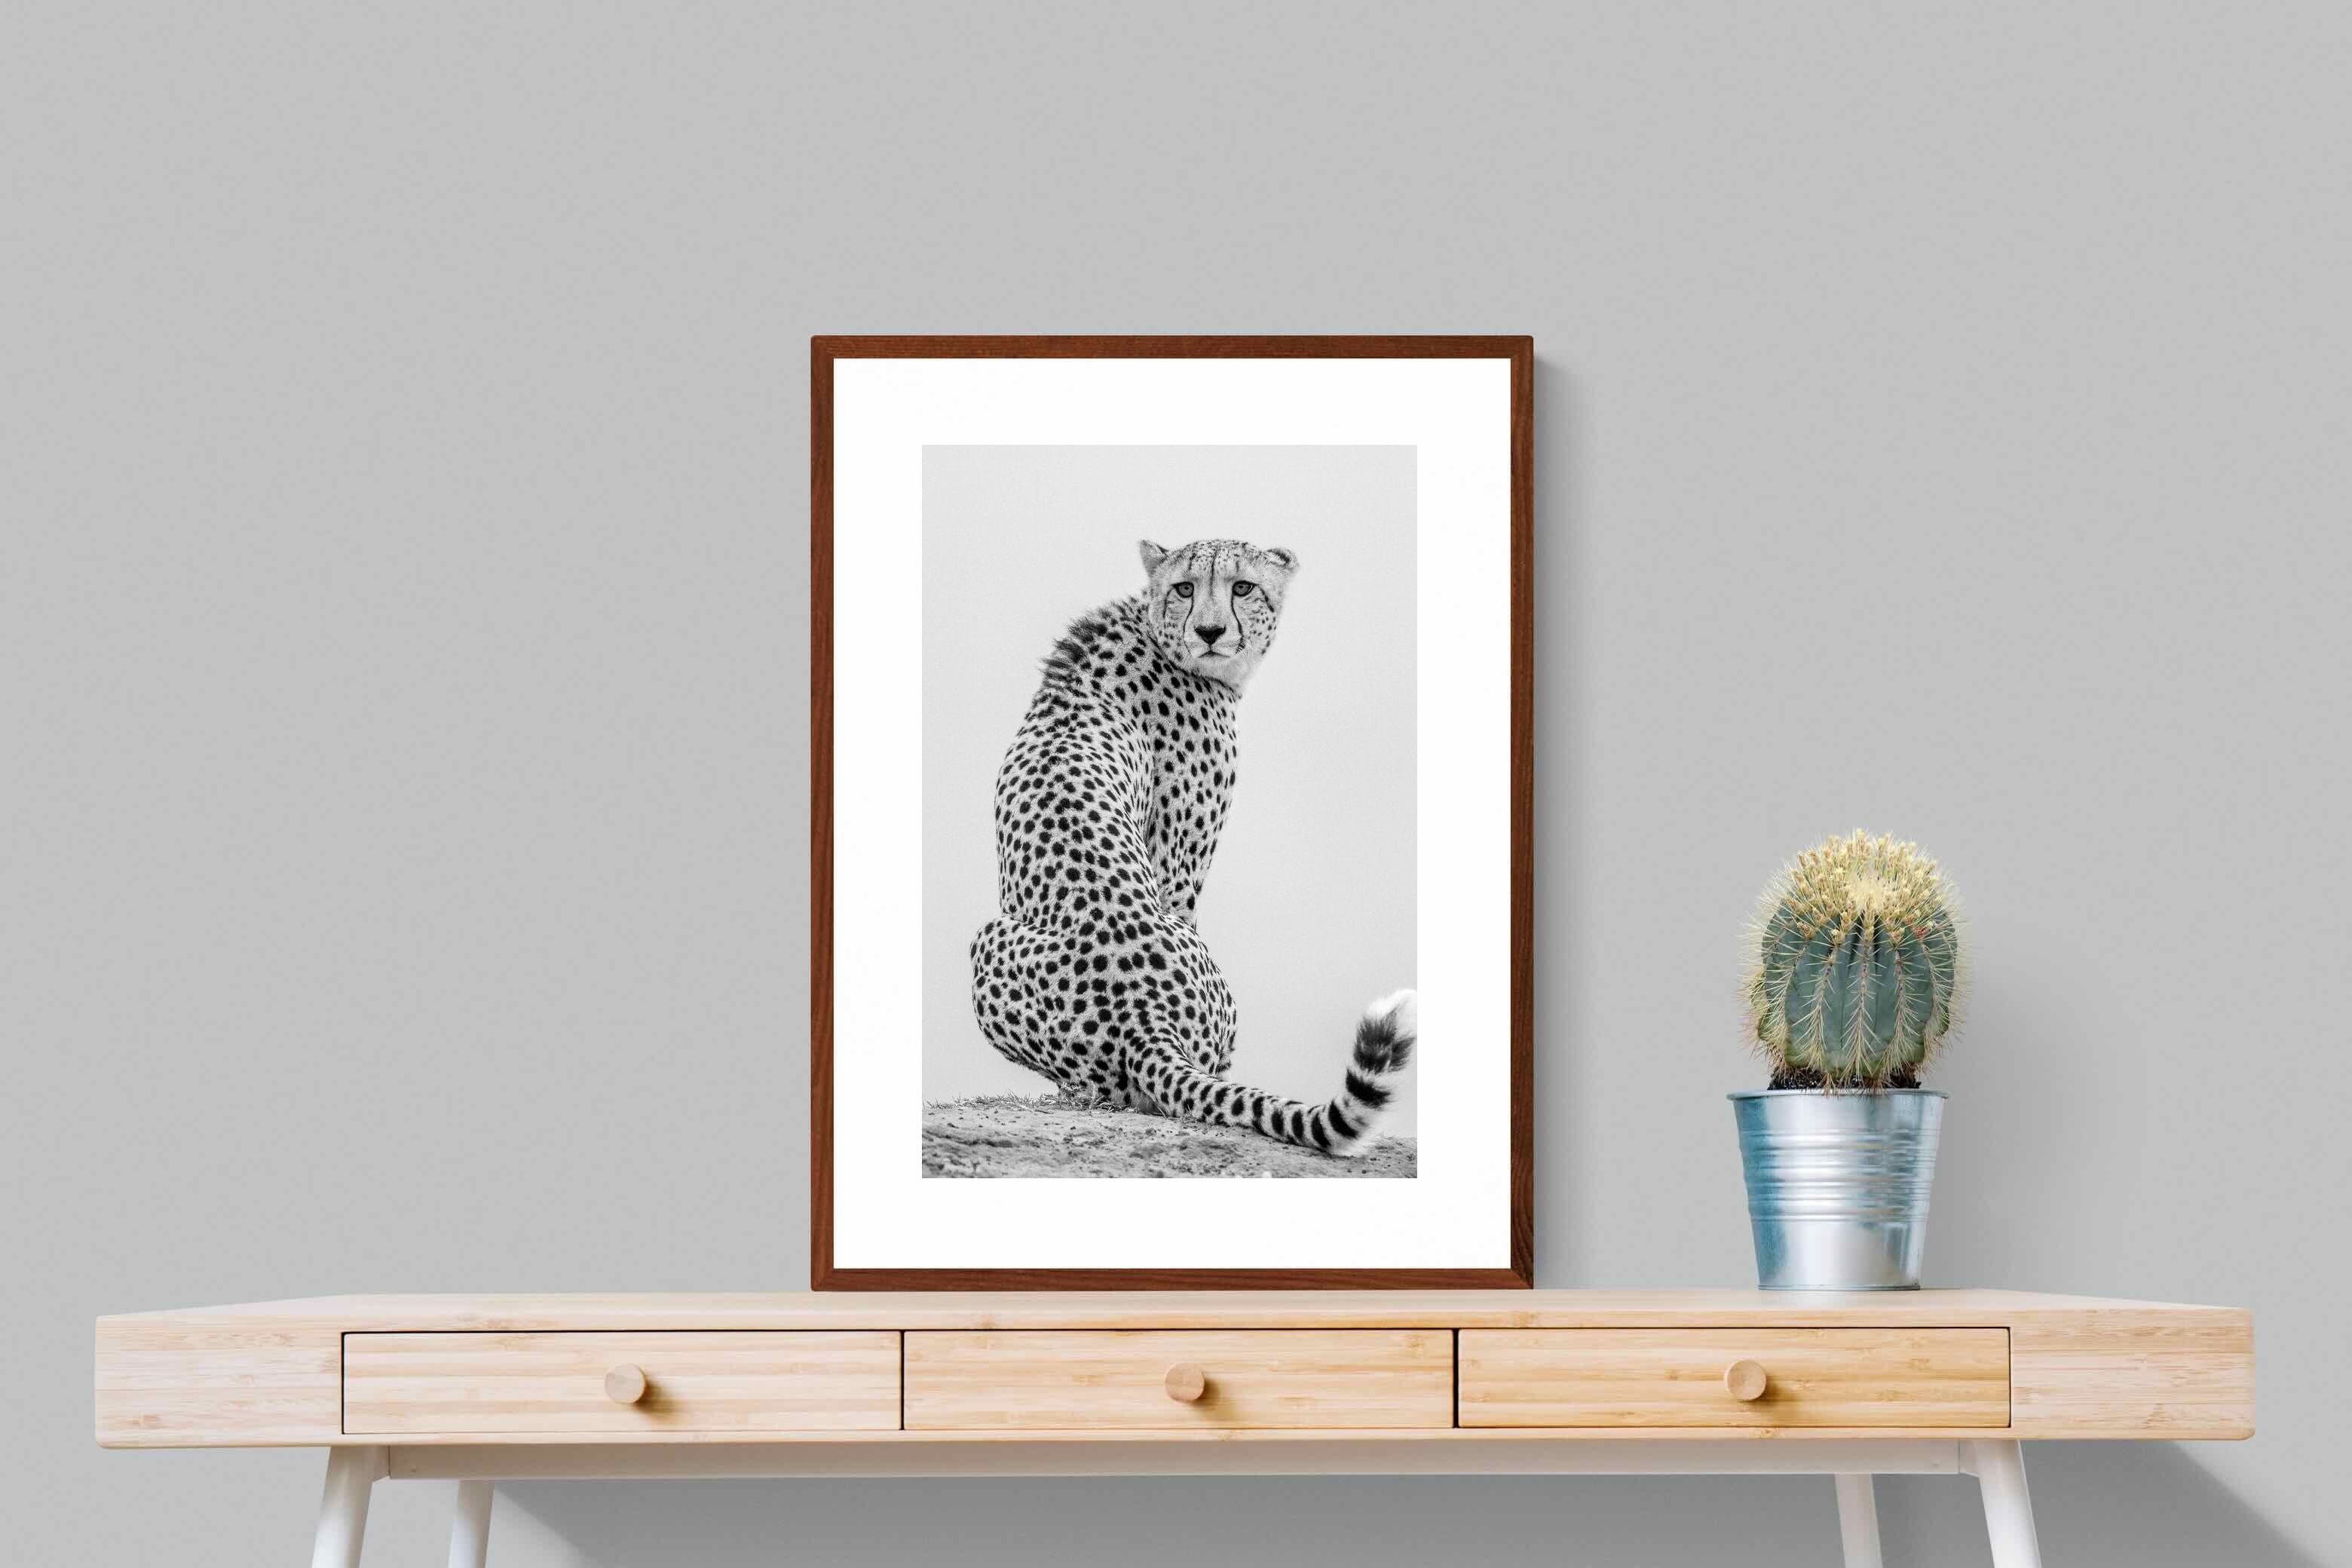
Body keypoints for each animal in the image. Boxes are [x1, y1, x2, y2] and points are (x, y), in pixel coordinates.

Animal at [967, 536, 1417, 1159]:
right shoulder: (1178, 868)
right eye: (1185, 587)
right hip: (994, 939)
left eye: (1242, 586)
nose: (1209, 630)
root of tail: (1143, 1017)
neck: (1155, 632)